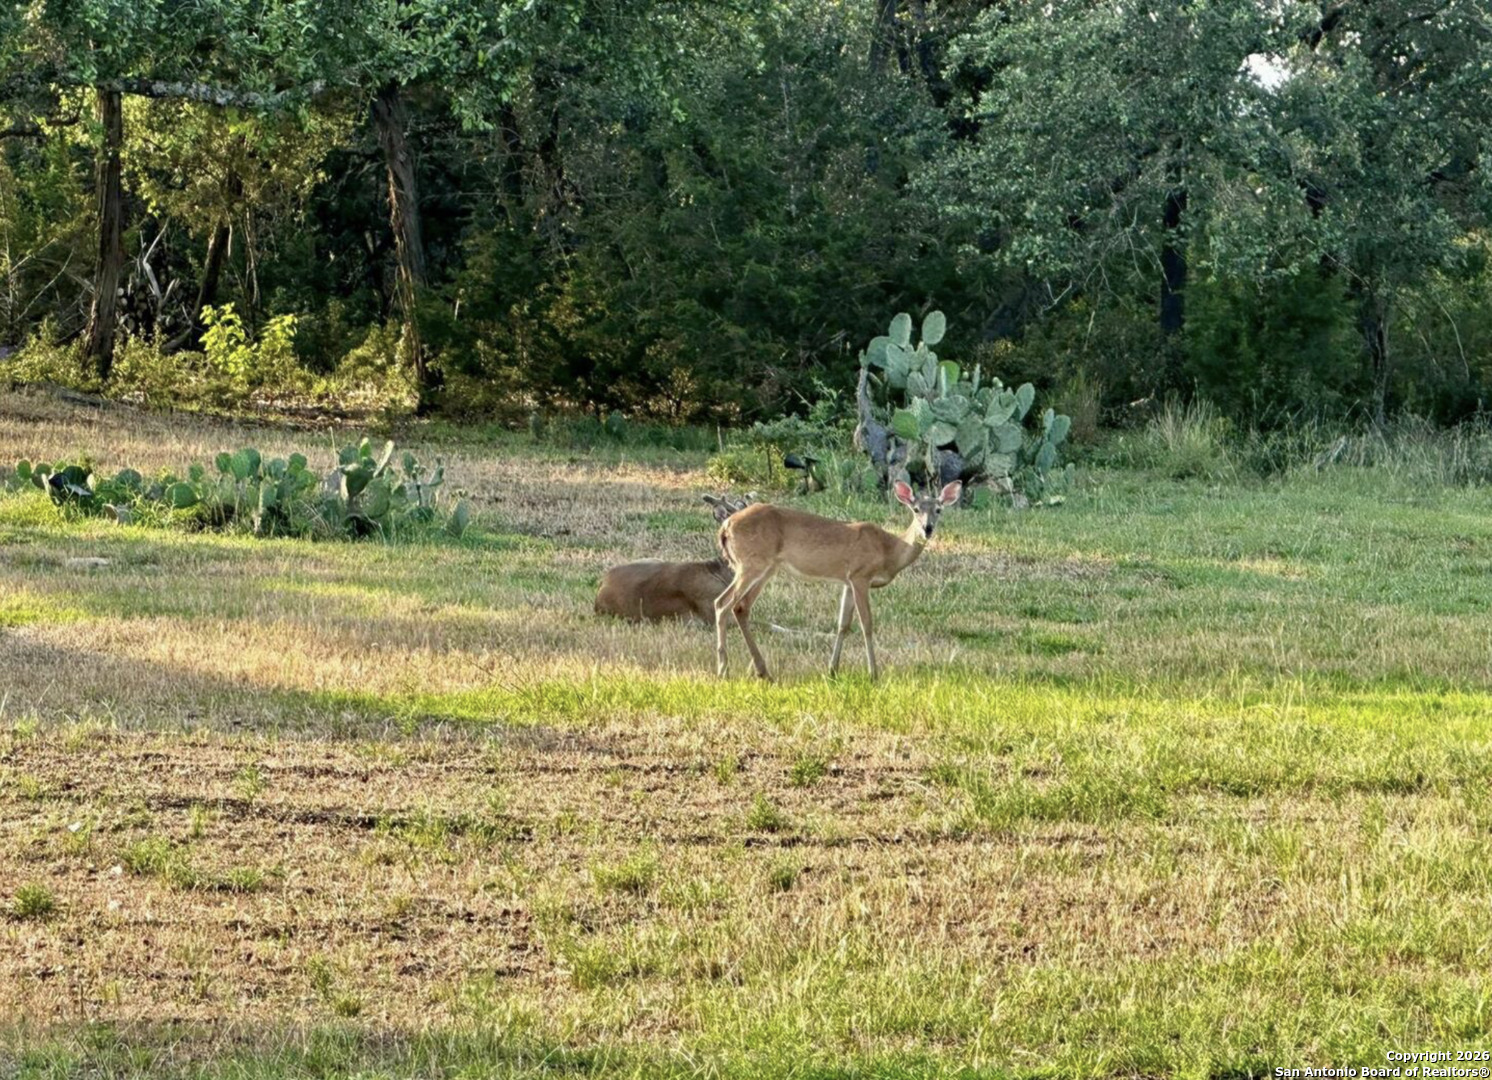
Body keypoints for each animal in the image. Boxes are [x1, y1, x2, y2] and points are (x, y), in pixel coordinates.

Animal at [714, 479, 962, 680]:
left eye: (938, 509)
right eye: (916, 509)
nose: (927, 529)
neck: (889, 550)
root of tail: (726, 525)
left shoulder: (847, 581)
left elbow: (843, 623)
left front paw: (832, 670)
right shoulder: (861, 575)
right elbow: (866, 624)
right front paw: (873, 673)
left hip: (766, 568)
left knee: (741, 607)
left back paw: (763, 671)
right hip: (752, 563)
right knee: (722, 603)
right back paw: (723, 670)